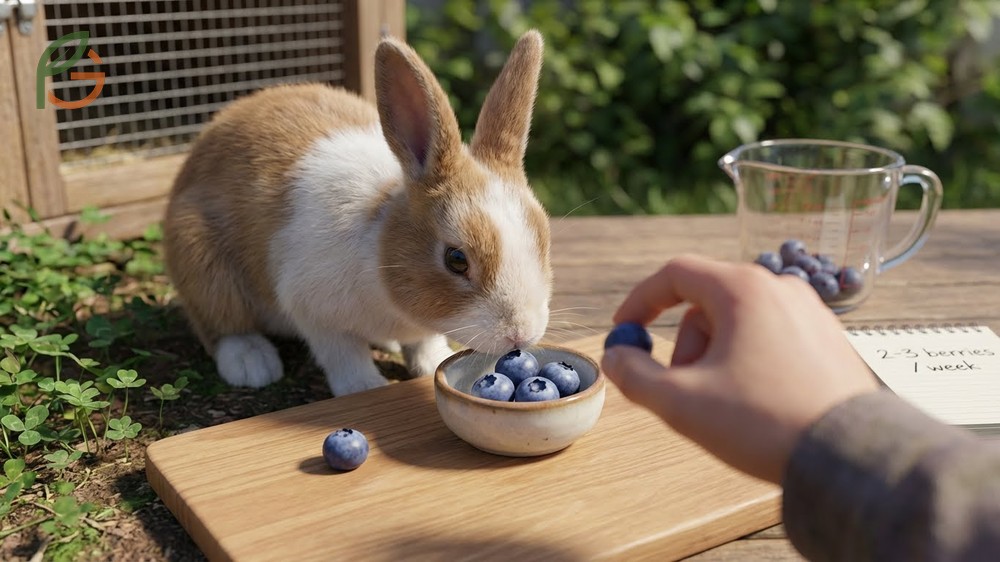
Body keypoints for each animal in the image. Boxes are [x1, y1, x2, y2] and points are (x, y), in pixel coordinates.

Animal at [162, 30, 552, 397]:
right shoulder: (314, 311)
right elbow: (343, 353)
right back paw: (252, 363)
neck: (379, 250)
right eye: (456, 260)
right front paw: (365, 387)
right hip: (200, 261)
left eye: (543, 241)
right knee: (221, 325)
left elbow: (424, 343)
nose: (520, 334)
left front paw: (434, 362)